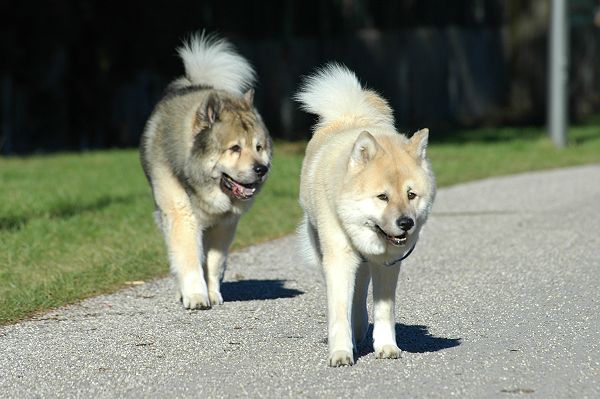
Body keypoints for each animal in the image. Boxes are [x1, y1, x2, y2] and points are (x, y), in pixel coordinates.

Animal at [296, 64, 436, 368]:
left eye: (411, 195)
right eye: (382, 197)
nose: (406, 223)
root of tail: (351, 114)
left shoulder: (388, 264)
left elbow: (384, 311)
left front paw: (386, 346)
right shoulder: (338, 258)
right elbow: (338, 311)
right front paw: (340, 352)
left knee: (361, 290)